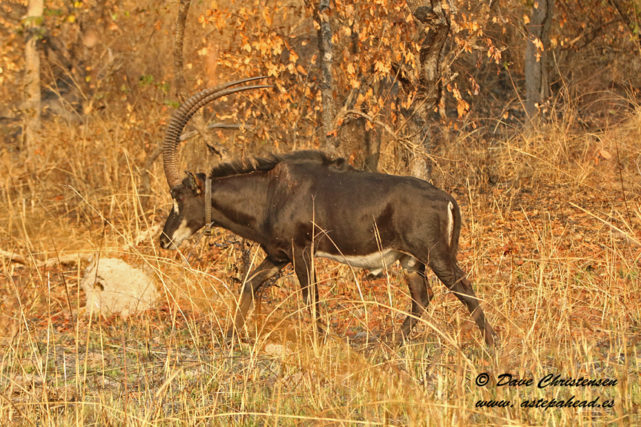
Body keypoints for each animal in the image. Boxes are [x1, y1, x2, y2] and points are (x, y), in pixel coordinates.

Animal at [158, 77, 498, 348]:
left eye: (178, 197)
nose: (163, 240)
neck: (271, 192)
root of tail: (447, 199)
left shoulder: (302, 251)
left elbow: (311, 298)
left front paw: (318, 342)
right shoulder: (278, 256)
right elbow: (249, 284)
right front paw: (230, 335)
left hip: (436, 256)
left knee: (465, 290)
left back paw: (492, 345)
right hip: (411, 262)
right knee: (421, 299)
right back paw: (390, 346)